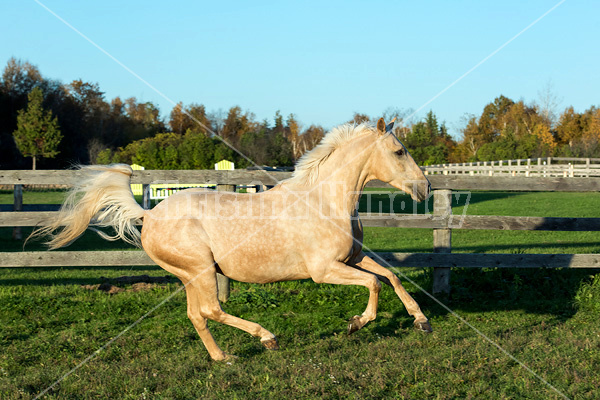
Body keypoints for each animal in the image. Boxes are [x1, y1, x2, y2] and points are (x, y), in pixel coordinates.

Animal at [36, 117, 432, 360]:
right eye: (399, 151)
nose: (425, 188)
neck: (325, 200)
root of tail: (148, 215)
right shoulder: (324, 270)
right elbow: (374, 285)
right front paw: (356, 323)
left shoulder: (351, 258)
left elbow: (391, 276)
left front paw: (421, 321)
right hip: (200, 269)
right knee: (211, 310)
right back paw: (267, 338)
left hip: (190, 275)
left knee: (196, 315)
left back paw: (221, 357)